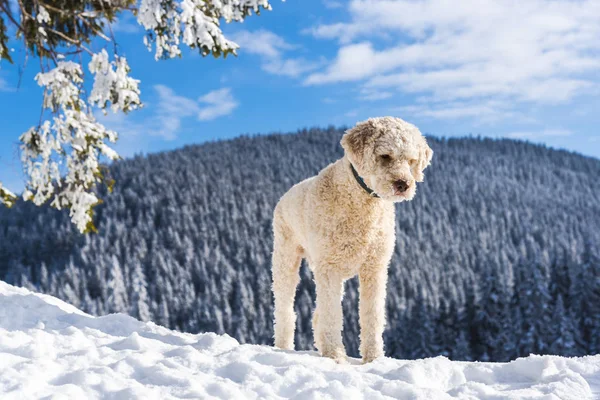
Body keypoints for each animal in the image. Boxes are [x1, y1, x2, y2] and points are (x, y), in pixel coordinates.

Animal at [270, 115, 432, 362]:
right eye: (385, 156)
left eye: (412, 160)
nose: (403, 184)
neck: (362, 203)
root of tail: (285, 195)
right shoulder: (329, 268)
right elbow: (332, 315)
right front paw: (336, 357)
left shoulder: (374, 268)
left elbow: (372, 315)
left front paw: (374, 359)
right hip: (285, 257)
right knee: (285, 308)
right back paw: (283, 348)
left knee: (317, 314)